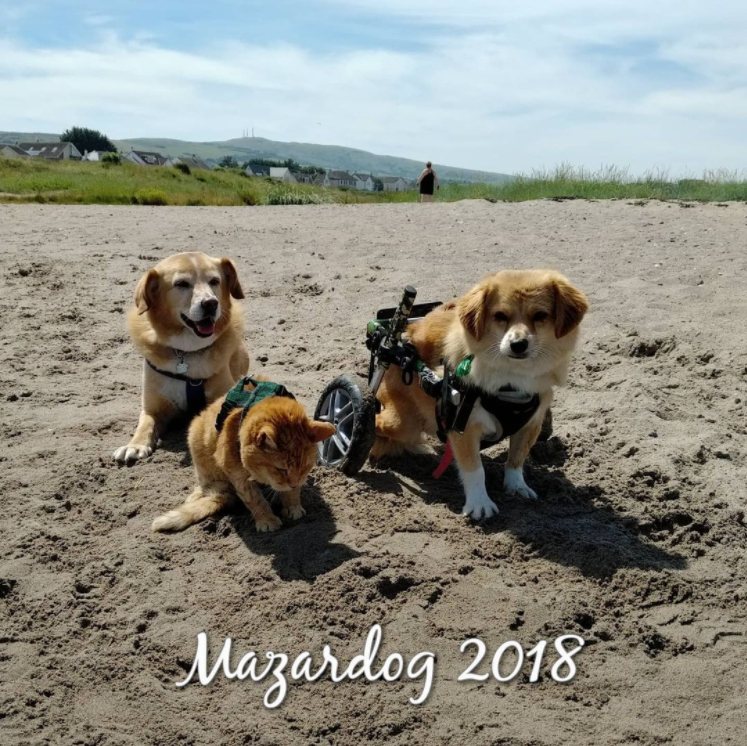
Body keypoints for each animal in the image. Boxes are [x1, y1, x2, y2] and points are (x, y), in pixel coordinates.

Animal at [112, 251, 250, 460]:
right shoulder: (152, 408)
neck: (186, 352)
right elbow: (145, 425)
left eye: (214, 281)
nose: (211, 303)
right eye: (181, 284)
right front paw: (134, 445)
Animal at [150, 378, 334, 528]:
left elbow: (290, 492)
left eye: (305, 467)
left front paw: (293, 506)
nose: (294, 483)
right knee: (207, 486)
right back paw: (197, 494)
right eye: (281, 469)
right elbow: (255, 500)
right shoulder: (238, 476)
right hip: (197, 444)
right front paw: (267, 521)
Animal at [374, 270, 592, 520]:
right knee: (376, 420)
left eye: (540, 315)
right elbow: (475, 469)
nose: (518, 344)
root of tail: (400, 339)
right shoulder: (463, 428)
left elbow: (517, 458)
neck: (511, 382)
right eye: (500, 316)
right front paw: (480, 503)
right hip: (402, 424)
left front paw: (517, 486)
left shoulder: (531, 424)